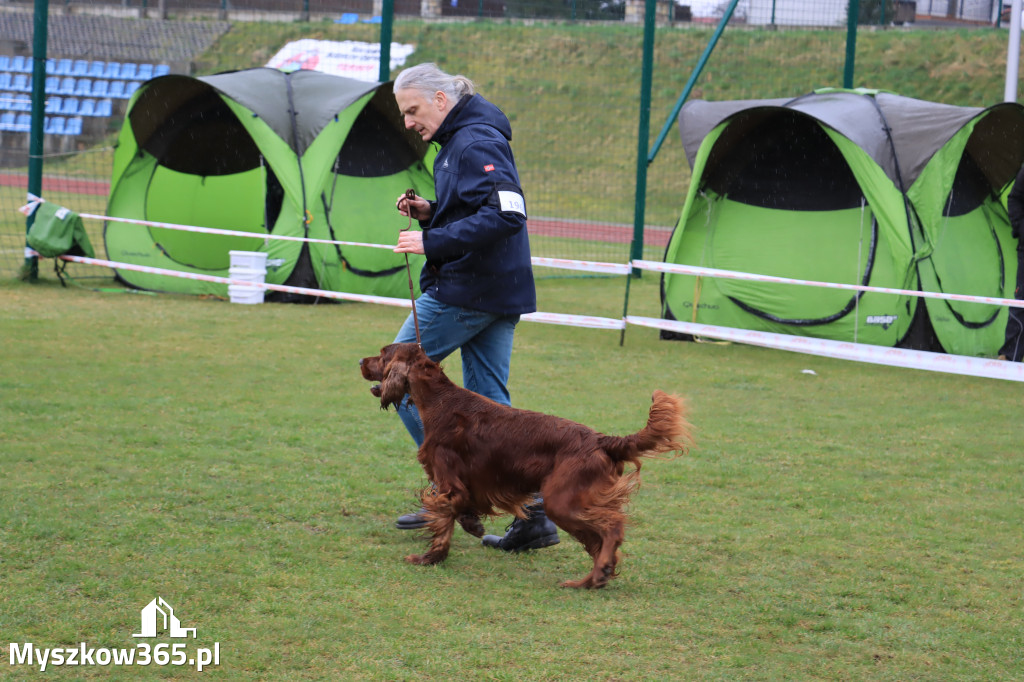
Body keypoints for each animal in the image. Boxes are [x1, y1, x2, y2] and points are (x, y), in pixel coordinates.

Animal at [356, 342, 692, 585]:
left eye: (383, 354)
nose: (360, 361)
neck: (439, 400)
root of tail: (602, 440)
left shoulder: (449, 483)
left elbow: (442, 522)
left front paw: (429, 558)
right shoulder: (463, 485)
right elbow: (458, 511)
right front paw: (471, 524)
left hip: (562, 501)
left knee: (612, 528)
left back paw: (594, 577)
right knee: (599, 539)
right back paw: (598, 574)